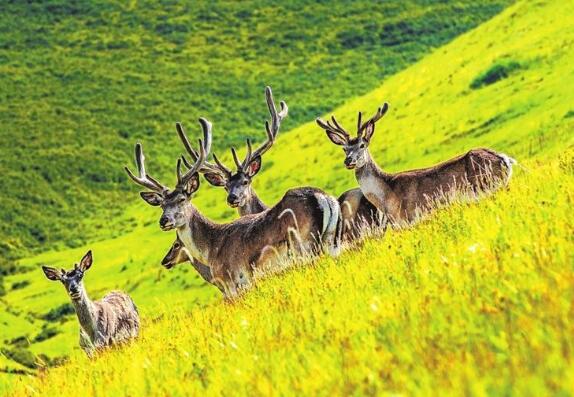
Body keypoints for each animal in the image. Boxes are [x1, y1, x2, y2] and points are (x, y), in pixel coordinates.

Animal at [126, 116, 342, 296]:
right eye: (162, 205)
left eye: (181, 199)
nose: (164, 221)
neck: (211, 250)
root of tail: (323, 198)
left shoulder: (235, 281)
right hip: (331, 242)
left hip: (306, 246)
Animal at [318, 102, 520, 227]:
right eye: (344, 149)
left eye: (362, 145)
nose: (348, 161)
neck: (387, 198)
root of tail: (505, 158)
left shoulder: (411, 217)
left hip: (488, 187)